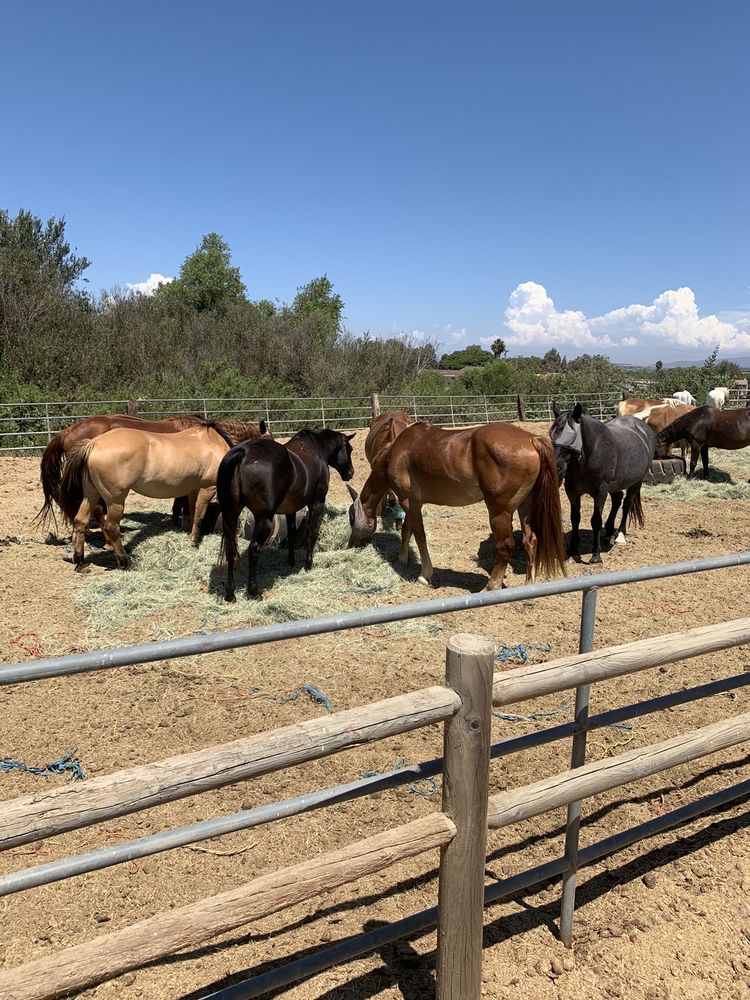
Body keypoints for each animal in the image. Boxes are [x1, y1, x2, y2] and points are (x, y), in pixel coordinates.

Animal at [57, 422, 236, 570]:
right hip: (115, 501)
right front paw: (193, 542)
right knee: (111, 528)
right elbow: (199, 516)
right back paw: (126, 562)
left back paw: (80, 561)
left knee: (81, 521)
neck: (213, 442)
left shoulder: (194, 489)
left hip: (91, 495)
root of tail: (93, 443)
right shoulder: (208, 488)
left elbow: (192, 513)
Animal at [217, 428, 355, 601]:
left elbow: (292, 532)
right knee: (254, 549)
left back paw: (230, 594)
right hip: (264, 519)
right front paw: (308, 564)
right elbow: (312, 533)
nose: (351, 472)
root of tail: (243, 452)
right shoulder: (317, 503)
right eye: (349, 449)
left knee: (230, 549)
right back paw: (254, 591)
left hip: (231, 514)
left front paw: (291, 561)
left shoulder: (291, 509)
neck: (316, 448)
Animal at [347, 421, 566, 589]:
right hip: (525, 508)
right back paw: (529, 585)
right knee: (531, 541)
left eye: (350, 518)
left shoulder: (410, 502)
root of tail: (531, 439)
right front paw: (402, 559)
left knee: (505, 546)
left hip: (499, 511)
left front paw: (424, 574)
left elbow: (419, 535)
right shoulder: (411, 504)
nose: (351, 545)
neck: (398, 451)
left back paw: (491, 586)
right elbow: (407, 529)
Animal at [549, 403, 655, 564]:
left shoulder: (600, 491)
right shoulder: (572, 491)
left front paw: (596, 556)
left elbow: (596, 521)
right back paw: (609, 532)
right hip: (615, 485)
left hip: (636, 482)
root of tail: (643, 428)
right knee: (617, 499)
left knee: (627, 504)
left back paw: (620, 535)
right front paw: (573, 553)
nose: (556, 468)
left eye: (572, 435)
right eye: (551, 434)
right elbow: (575, 518)